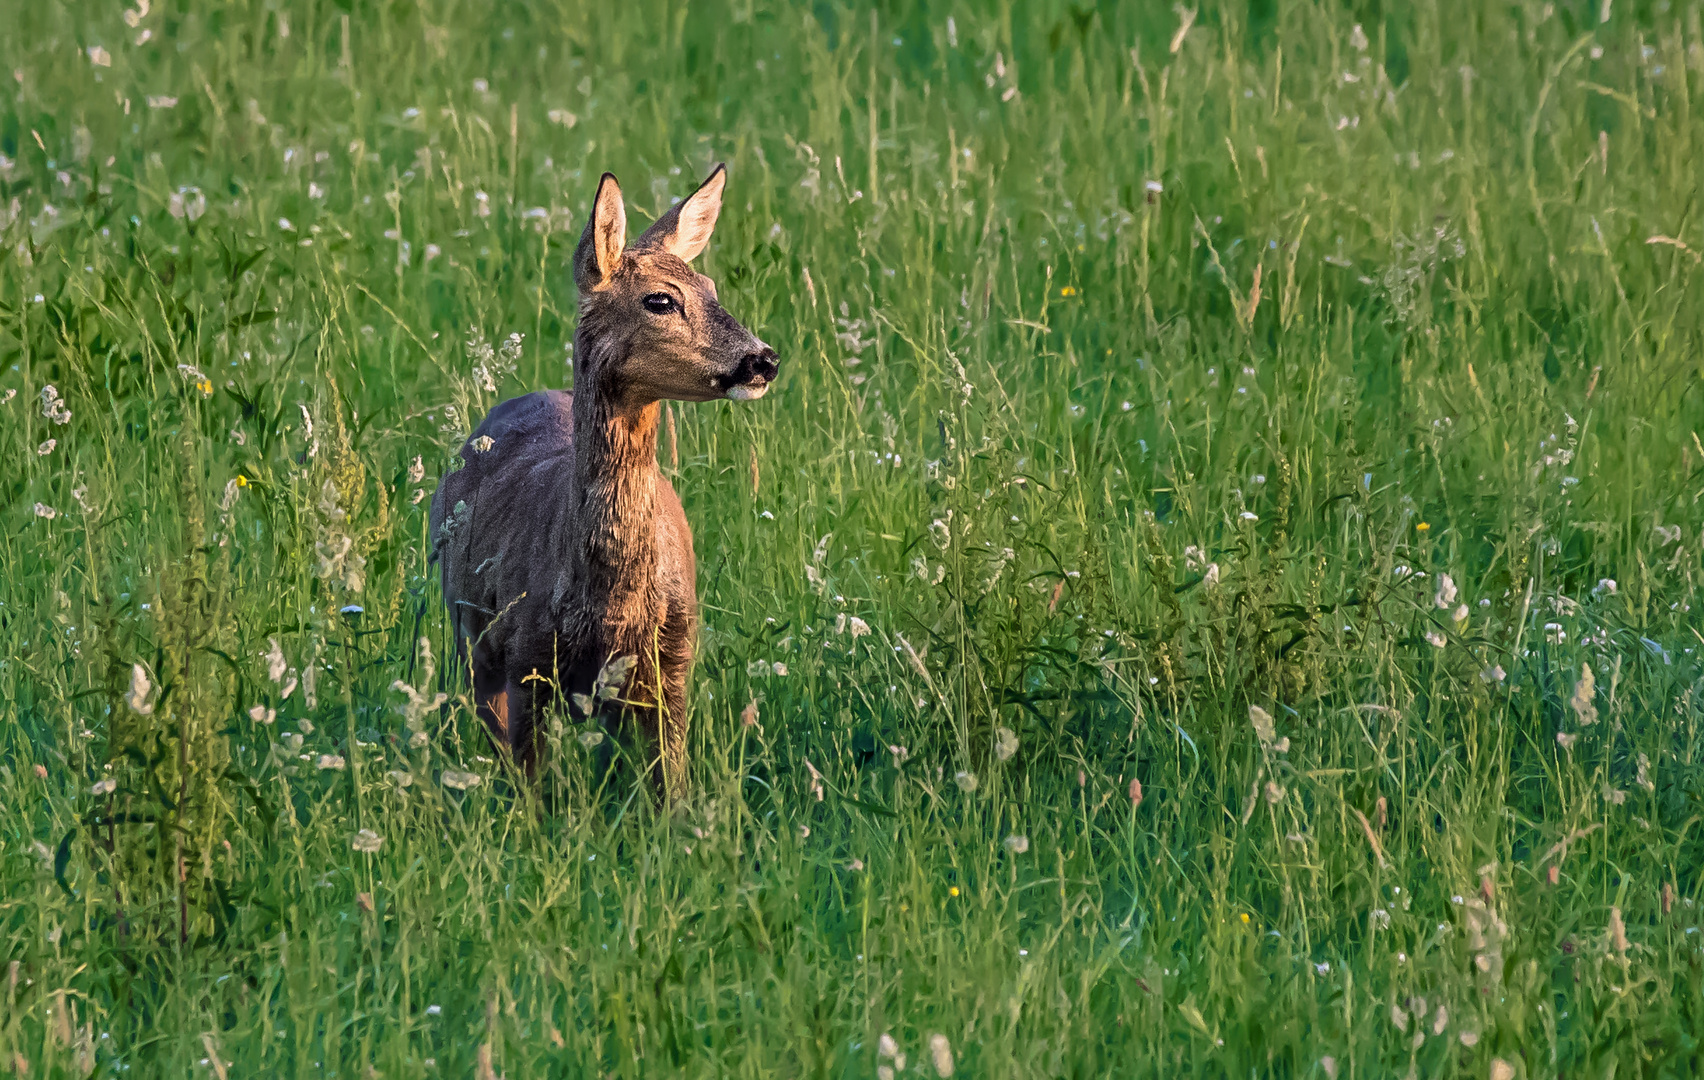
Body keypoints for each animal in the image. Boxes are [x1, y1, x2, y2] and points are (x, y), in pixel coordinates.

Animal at [426, 164, 780, 793]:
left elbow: (671, 787)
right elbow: (533, 786)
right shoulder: (525, 661)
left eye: (711, 287)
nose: (763, 360)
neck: (610, 604)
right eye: (660, 300)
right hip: (467, 630)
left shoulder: (674, 662)